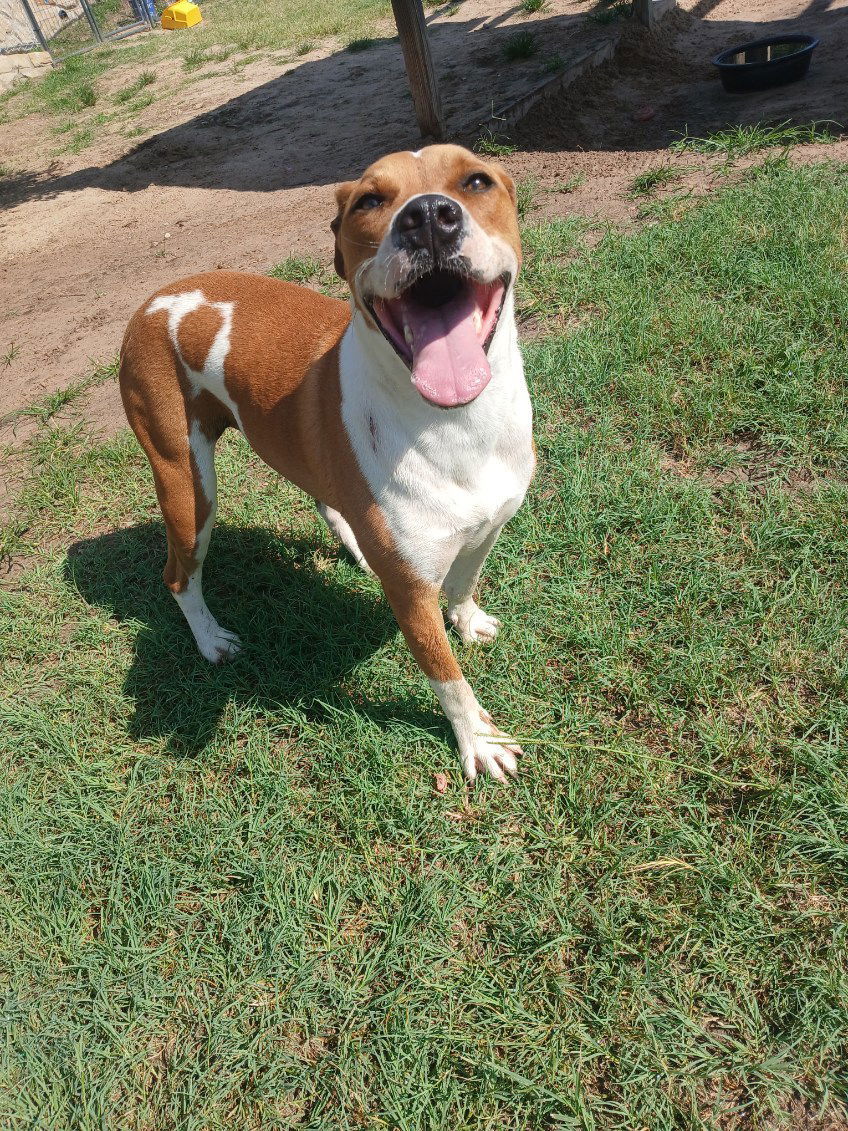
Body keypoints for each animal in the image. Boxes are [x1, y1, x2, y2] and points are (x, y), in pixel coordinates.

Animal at [118, 145, 538, 782]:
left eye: (476, 181)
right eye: (370, 200)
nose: (428, 216)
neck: (456, 423)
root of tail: (150, 302)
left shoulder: (487, 526)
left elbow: (464, 584)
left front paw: (469, 622)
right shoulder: (411, 595)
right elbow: (447, 678)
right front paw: (479, 740)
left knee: (321, 494)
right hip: (188, 487)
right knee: (178, 575)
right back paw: (211, 639)